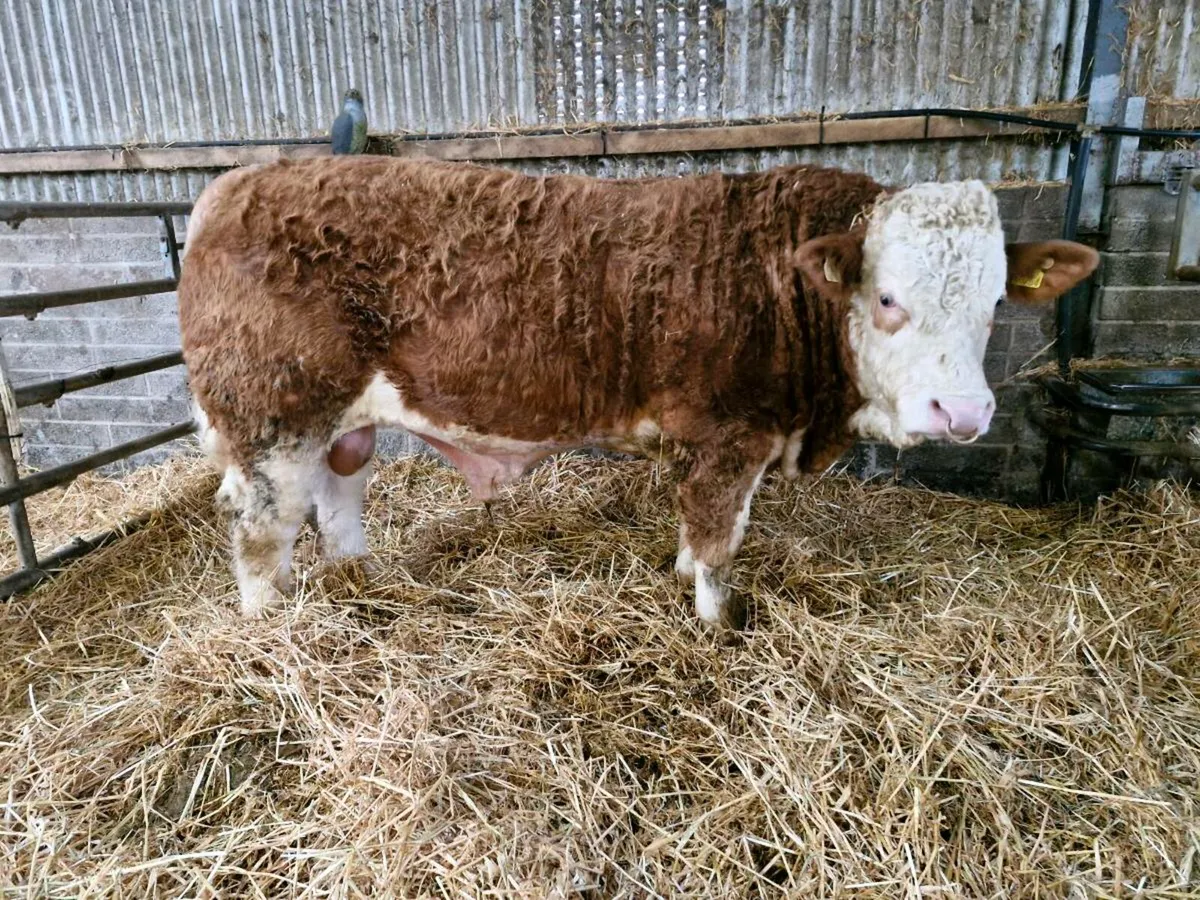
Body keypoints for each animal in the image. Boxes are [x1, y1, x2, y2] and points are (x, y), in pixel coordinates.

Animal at [178, 157, 1097, 627]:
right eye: (888, 298)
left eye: (994, 303)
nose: (964, 413)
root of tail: (231, 185)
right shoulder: (729, 435)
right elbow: (720, 545)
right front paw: (715, 630)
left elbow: (700, 536)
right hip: (272, 419)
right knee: (261, 537)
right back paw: (269, 638)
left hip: (338, 423)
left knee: (339, 498)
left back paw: (360, 581)